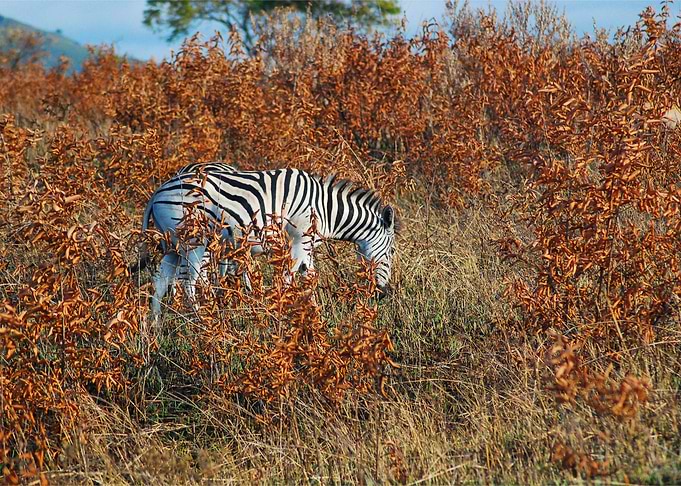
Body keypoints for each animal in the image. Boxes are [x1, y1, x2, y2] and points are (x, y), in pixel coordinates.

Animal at [132, 167, 397, 316]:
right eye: (392, 252)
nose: (382, 295)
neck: (324, 209)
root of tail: (157, 192)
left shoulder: (305, 246)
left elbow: (309, 277)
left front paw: (313, 313)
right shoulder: (299, 241)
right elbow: (292, 278)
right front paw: (284, 311)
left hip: (173, 244)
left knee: (160, 280)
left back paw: (154, 326)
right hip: (195, 241)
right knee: (190, 282)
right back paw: (202, 320)